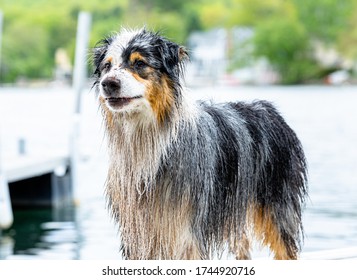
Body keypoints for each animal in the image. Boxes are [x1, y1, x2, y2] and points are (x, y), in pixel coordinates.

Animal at [92, 28, 306, 260]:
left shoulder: (186, 232)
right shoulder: (137, 233)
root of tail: (269, 108)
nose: (108, 84)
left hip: (277, 208)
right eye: (107, 66)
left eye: (139, 63)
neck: (149, 139)